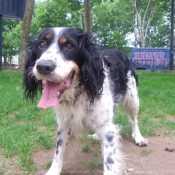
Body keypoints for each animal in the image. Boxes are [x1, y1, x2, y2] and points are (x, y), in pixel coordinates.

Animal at [23, 27, 148, 175]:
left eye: (69, 46)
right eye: (41, 44)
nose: (43, 66)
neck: (79, 92)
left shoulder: (107, 129)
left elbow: (110, 162)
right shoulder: (64, 124)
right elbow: (58, 153)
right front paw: (53, 171)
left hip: (132, 100)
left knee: (134, 120)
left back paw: (139, 138)